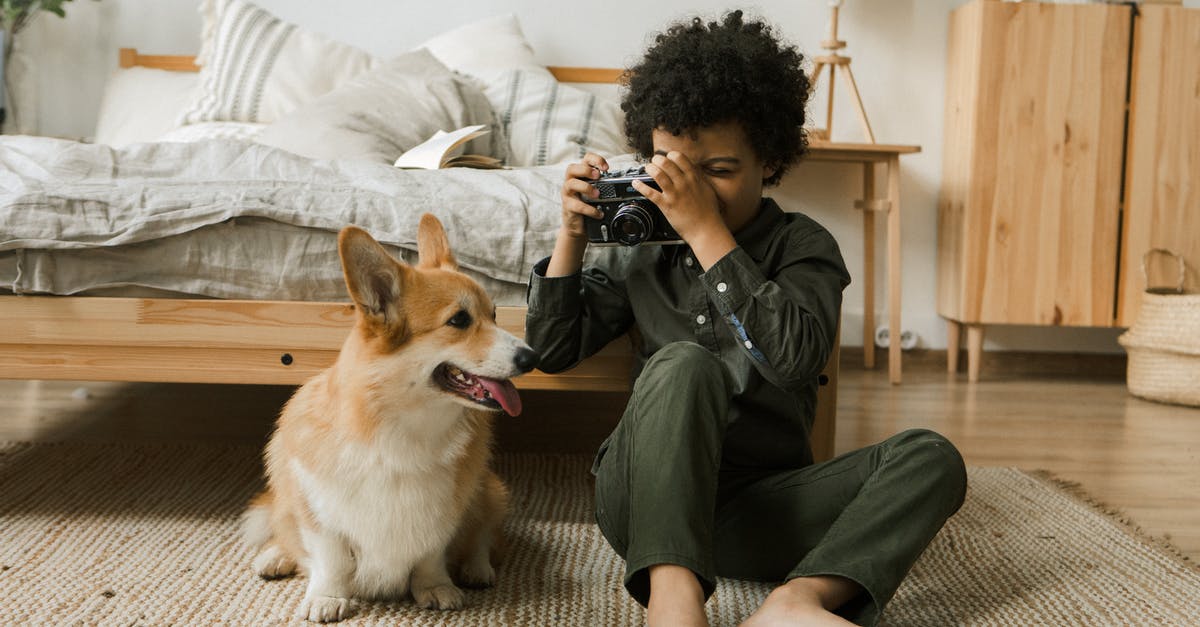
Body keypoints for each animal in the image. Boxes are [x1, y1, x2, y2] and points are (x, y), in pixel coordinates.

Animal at [246, 215, 537, 619]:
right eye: (459, 320)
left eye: (494, 315)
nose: (532, 357)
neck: (404, 427)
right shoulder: (318, 509)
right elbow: (332, 559)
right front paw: (328, 597)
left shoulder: (442, 511)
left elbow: (431, 553)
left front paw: (435, 587)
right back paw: (275, 556)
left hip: (490, 490)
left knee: (484, 537)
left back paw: (475, 568)